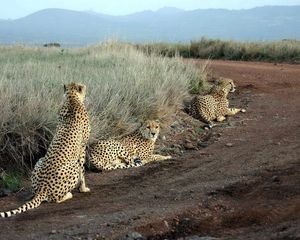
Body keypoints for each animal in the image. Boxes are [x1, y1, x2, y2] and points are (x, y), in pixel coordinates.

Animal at [0, 82, 90, 218]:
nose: (86, 88)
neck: (71, 99)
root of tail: (43, 188)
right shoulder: (83, 147)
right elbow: (83, 170)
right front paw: (83, 188)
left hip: (40, 160)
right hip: (72, 166)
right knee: (55, 199)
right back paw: (68, 194)